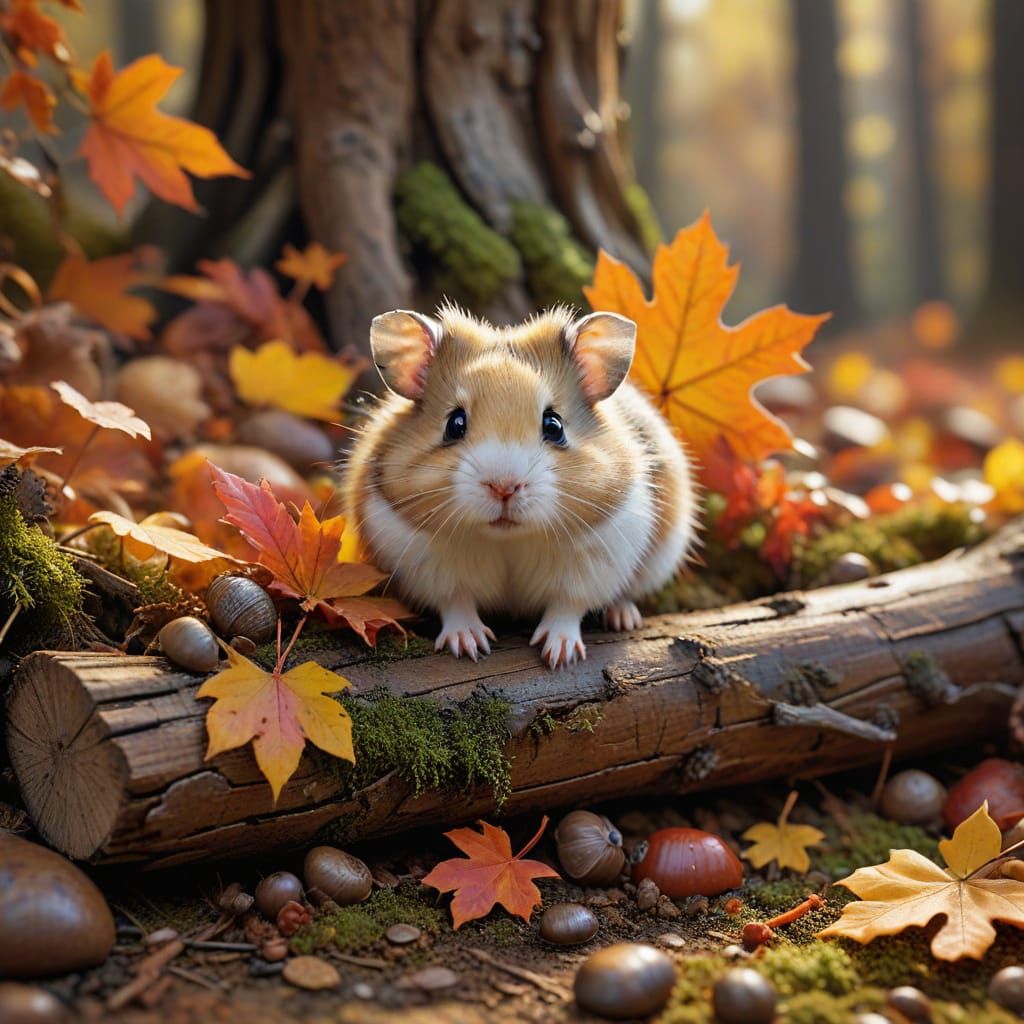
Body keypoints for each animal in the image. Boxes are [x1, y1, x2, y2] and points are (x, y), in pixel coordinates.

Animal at [343, 304, 697, 669]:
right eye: (455, 423)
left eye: (554, 425)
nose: (504, 488)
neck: (507, 538)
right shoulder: (428, 566)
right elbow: (456, 603)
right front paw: (470, 646)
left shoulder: (596, 561)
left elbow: (567, 606)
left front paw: (560, 656)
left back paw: (623, 618)